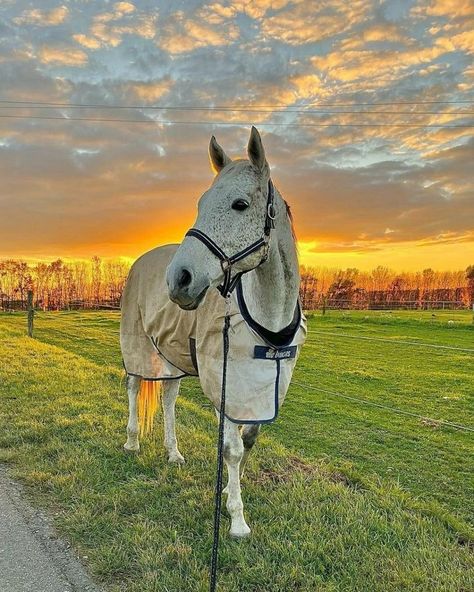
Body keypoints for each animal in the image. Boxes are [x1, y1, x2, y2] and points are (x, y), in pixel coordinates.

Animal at [120, 127, 306, 540]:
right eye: (201, 202)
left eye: (239, 204)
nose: (180, 279)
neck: (267, 323)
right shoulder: (226, 385)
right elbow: (231, 448)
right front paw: (236, 519)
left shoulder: (263, 387)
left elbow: (248, 441)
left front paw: (228, 489)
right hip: (138, 349)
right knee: (135, 387)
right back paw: (132, 442)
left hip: (171, 357)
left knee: (169, 399)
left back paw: (173, 453)